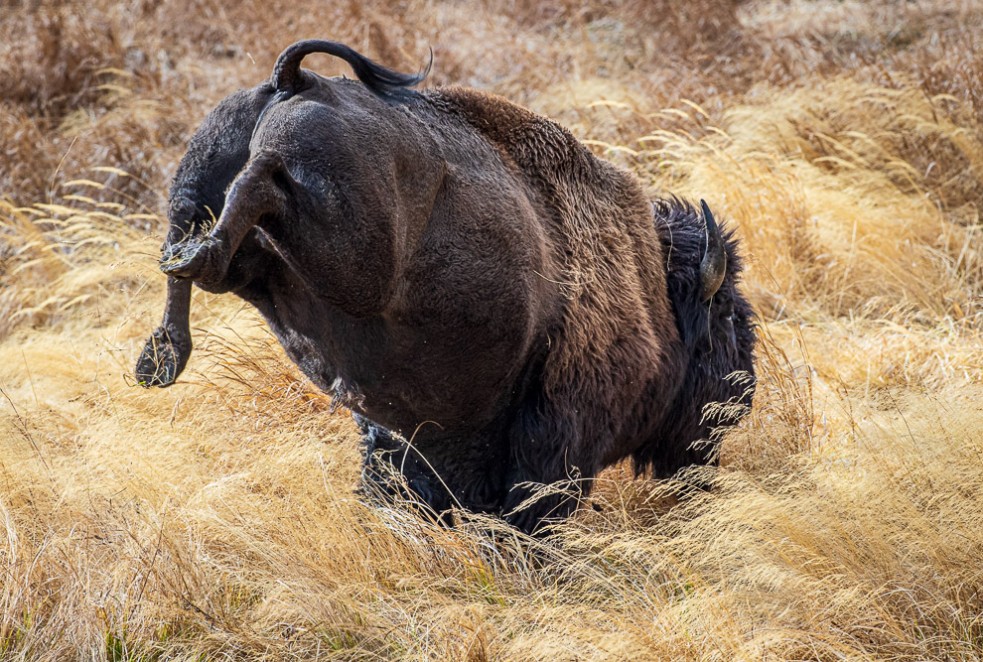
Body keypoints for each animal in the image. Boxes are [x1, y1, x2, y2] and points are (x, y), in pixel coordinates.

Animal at [135, 40, 756, 536]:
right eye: (727, 317)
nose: (743, 398)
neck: (654, 293)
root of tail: (295, 80)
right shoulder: (555, 438)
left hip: (212, 199)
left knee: (192, 245)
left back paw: (162, 348)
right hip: (352, 257)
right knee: (258, 188)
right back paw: (187, 289)